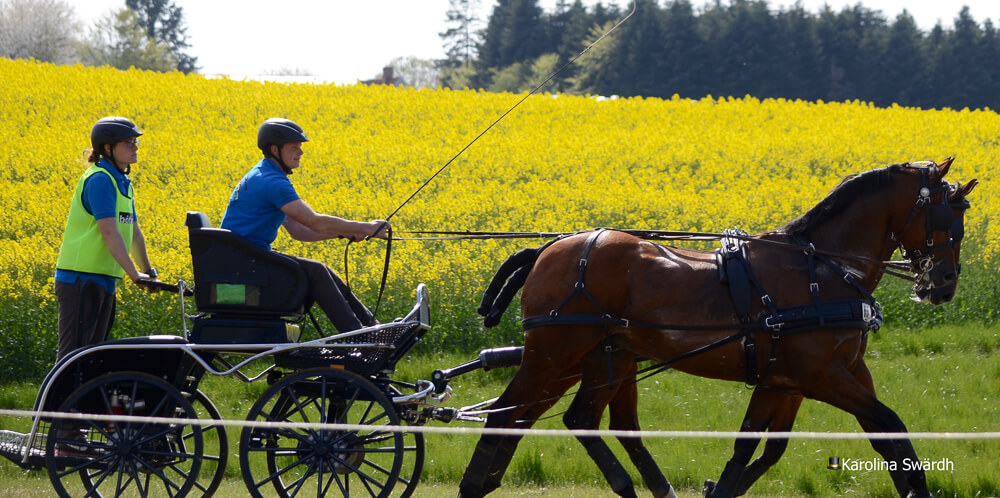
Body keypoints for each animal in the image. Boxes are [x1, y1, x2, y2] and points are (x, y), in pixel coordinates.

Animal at [458, 160, 976, 498]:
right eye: (947, 216)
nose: (946, 283)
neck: (821, 268)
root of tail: (549, 248)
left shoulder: (792, 380)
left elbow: (763, 448)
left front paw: (716, 486)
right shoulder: (823, 377)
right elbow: (890, 424)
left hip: (603, 358)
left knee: (572, 419)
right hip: (553, 354)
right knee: (506, 414)